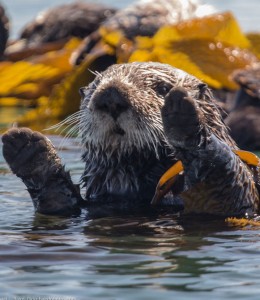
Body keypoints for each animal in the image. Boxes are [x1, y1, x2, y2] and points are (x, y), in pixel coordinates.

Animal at [2, 62, 260, 217]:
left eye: (162, 88)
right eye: (95, 87)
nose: (110, 95)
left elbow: (229, 192)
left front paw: (184, 117)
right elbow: (57, 203)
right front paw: (28, 150)